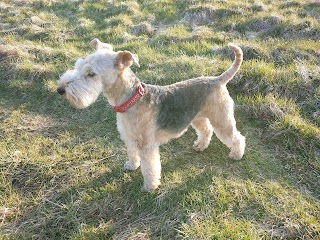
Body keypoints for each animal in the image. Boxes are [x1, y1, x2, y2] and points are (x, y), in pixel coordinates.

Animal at [57, 38, 246, 191]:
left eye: (91, 74)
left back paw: (236, 155)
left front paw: (150, 186)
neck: (131, 99)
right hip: (198, 117)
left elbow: (149, 168)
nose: (60, 90)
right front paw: (131, 166)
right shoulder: (130, 137)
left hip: (222, 119)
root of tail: (218, 80)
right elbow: (132, 154)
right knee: (206, 131)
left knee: (237, 137)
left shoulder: (146, 145)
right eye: (78, 66)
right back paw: (200, 146)